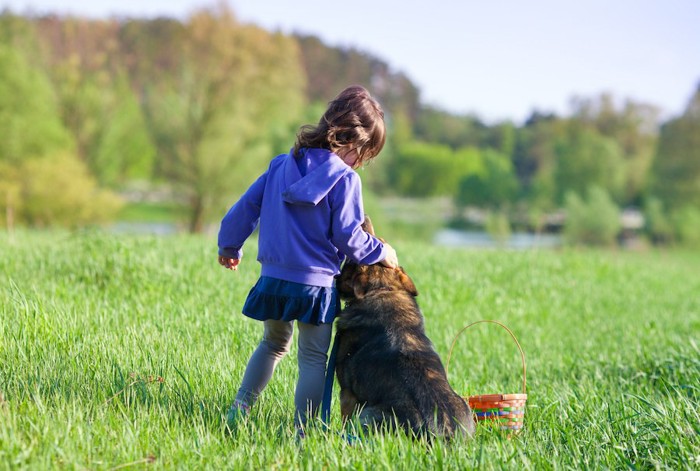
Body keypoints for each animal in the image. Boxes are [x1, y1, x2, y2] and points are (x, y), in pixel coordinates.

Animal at [330, 219, 474, 440]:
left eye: (378, 240)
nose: (363, 219)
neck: (383, 289)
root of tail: (439, 433)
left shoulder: (347, 393)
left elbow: (345, 418)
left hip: (367, 413)